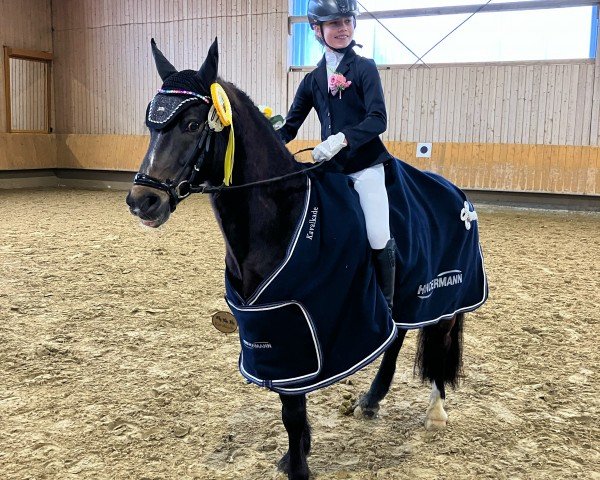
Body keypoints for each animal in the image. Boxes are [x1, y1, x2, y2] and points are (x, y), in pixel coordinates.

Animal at [127, 38, 482, 480]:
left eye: (192, 125)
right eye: (151, 124)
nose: (142, 202)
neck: (281, 214)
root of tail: (458, 193)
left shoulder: (300, 330)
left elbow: (292, 413)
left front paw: (299, 466)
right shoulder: (274, 329)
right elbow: (291, 405)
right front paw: (299, 454)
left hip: (446, 293)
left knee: (440, 338)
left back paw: (435, 411)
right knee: (397, 336)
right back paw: (371, 400)